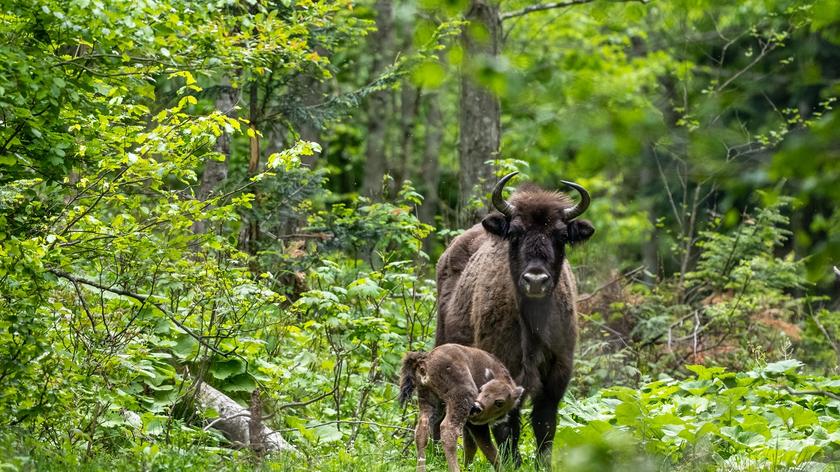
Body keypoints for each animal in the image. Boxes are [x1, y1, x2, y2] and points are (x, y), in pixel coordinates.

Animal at [400, 342, 524, 472]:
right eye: (481, 389)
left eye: (499, 402)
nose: (477, 407)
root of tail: (427, 360)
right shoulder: (476, 425)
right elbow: (488, 448)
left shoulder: (469, 425)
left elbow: (471, 447)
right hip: (460, 400)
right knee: (448, 430)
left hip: (430, 402)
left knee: (421, 431)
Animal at [436, 171, 592, 466]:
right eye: (516, 232)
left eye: (561, 235)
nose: (536, 279)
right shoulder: (504, 370)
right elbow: (507, 425)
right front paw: (512, 462)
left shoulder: (557, 375)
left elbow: (545, 424)